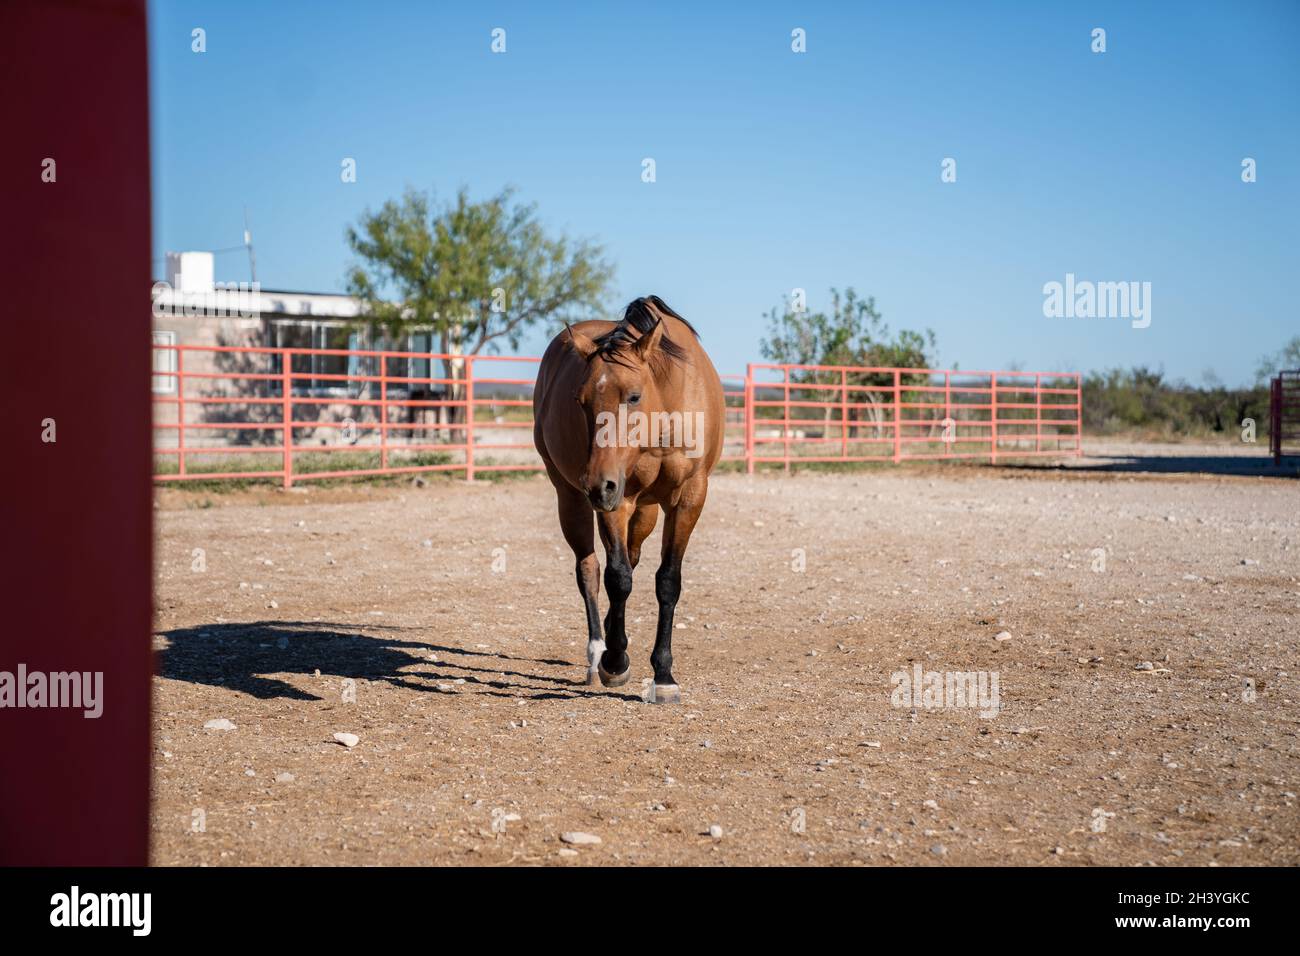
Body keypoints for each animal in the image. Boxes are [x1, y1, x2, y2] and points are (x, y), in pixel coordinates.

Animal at [533, 295, 725, 704]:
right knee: (590, 570)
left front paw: (664, 675)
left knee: (631, 558)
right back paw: (597, 652)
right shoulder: (616, 498)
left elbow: (667, 580)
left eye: (633, 396)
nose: (594, 485)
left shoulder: (690, 497)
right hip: (570, 497)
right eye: (581, 401)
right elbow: (617, 577)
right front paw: (615, 662)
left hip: (644, 509)